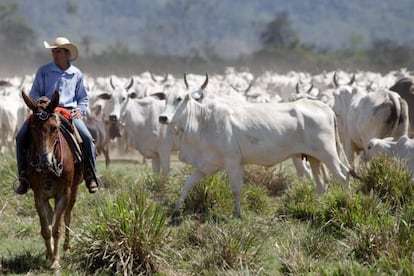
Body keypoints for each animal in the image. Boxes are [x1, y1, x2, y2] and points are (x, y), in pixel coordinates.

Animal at [21, 91, 83, 268]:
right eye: (32, 128)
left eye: (54, 128)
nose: (44, 162)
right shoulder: (39, 196)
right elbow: (46, 229)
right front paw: (50, 256)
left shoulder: (64, 194)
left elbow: (57, 228)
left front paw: (55, 261)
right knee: (50, 214)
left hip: (74, 190)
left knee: (67, 216)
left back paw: (66, 249)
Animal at [158, 74, 356, 220]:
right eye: (165, 99)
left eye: (179, 98)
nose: (162, 117)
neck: (203, 122)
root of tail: (325, 107)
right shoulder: (207, 165)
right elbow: (188, 184)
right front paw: (176, 210)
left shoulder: (232, 162)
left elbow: (235, 189)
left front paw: (237, 214)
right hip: (314, 158)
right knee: (322, 183)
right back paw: (317, 209)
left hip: (328, 154)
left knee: (343, 175)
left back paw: (347, 203)